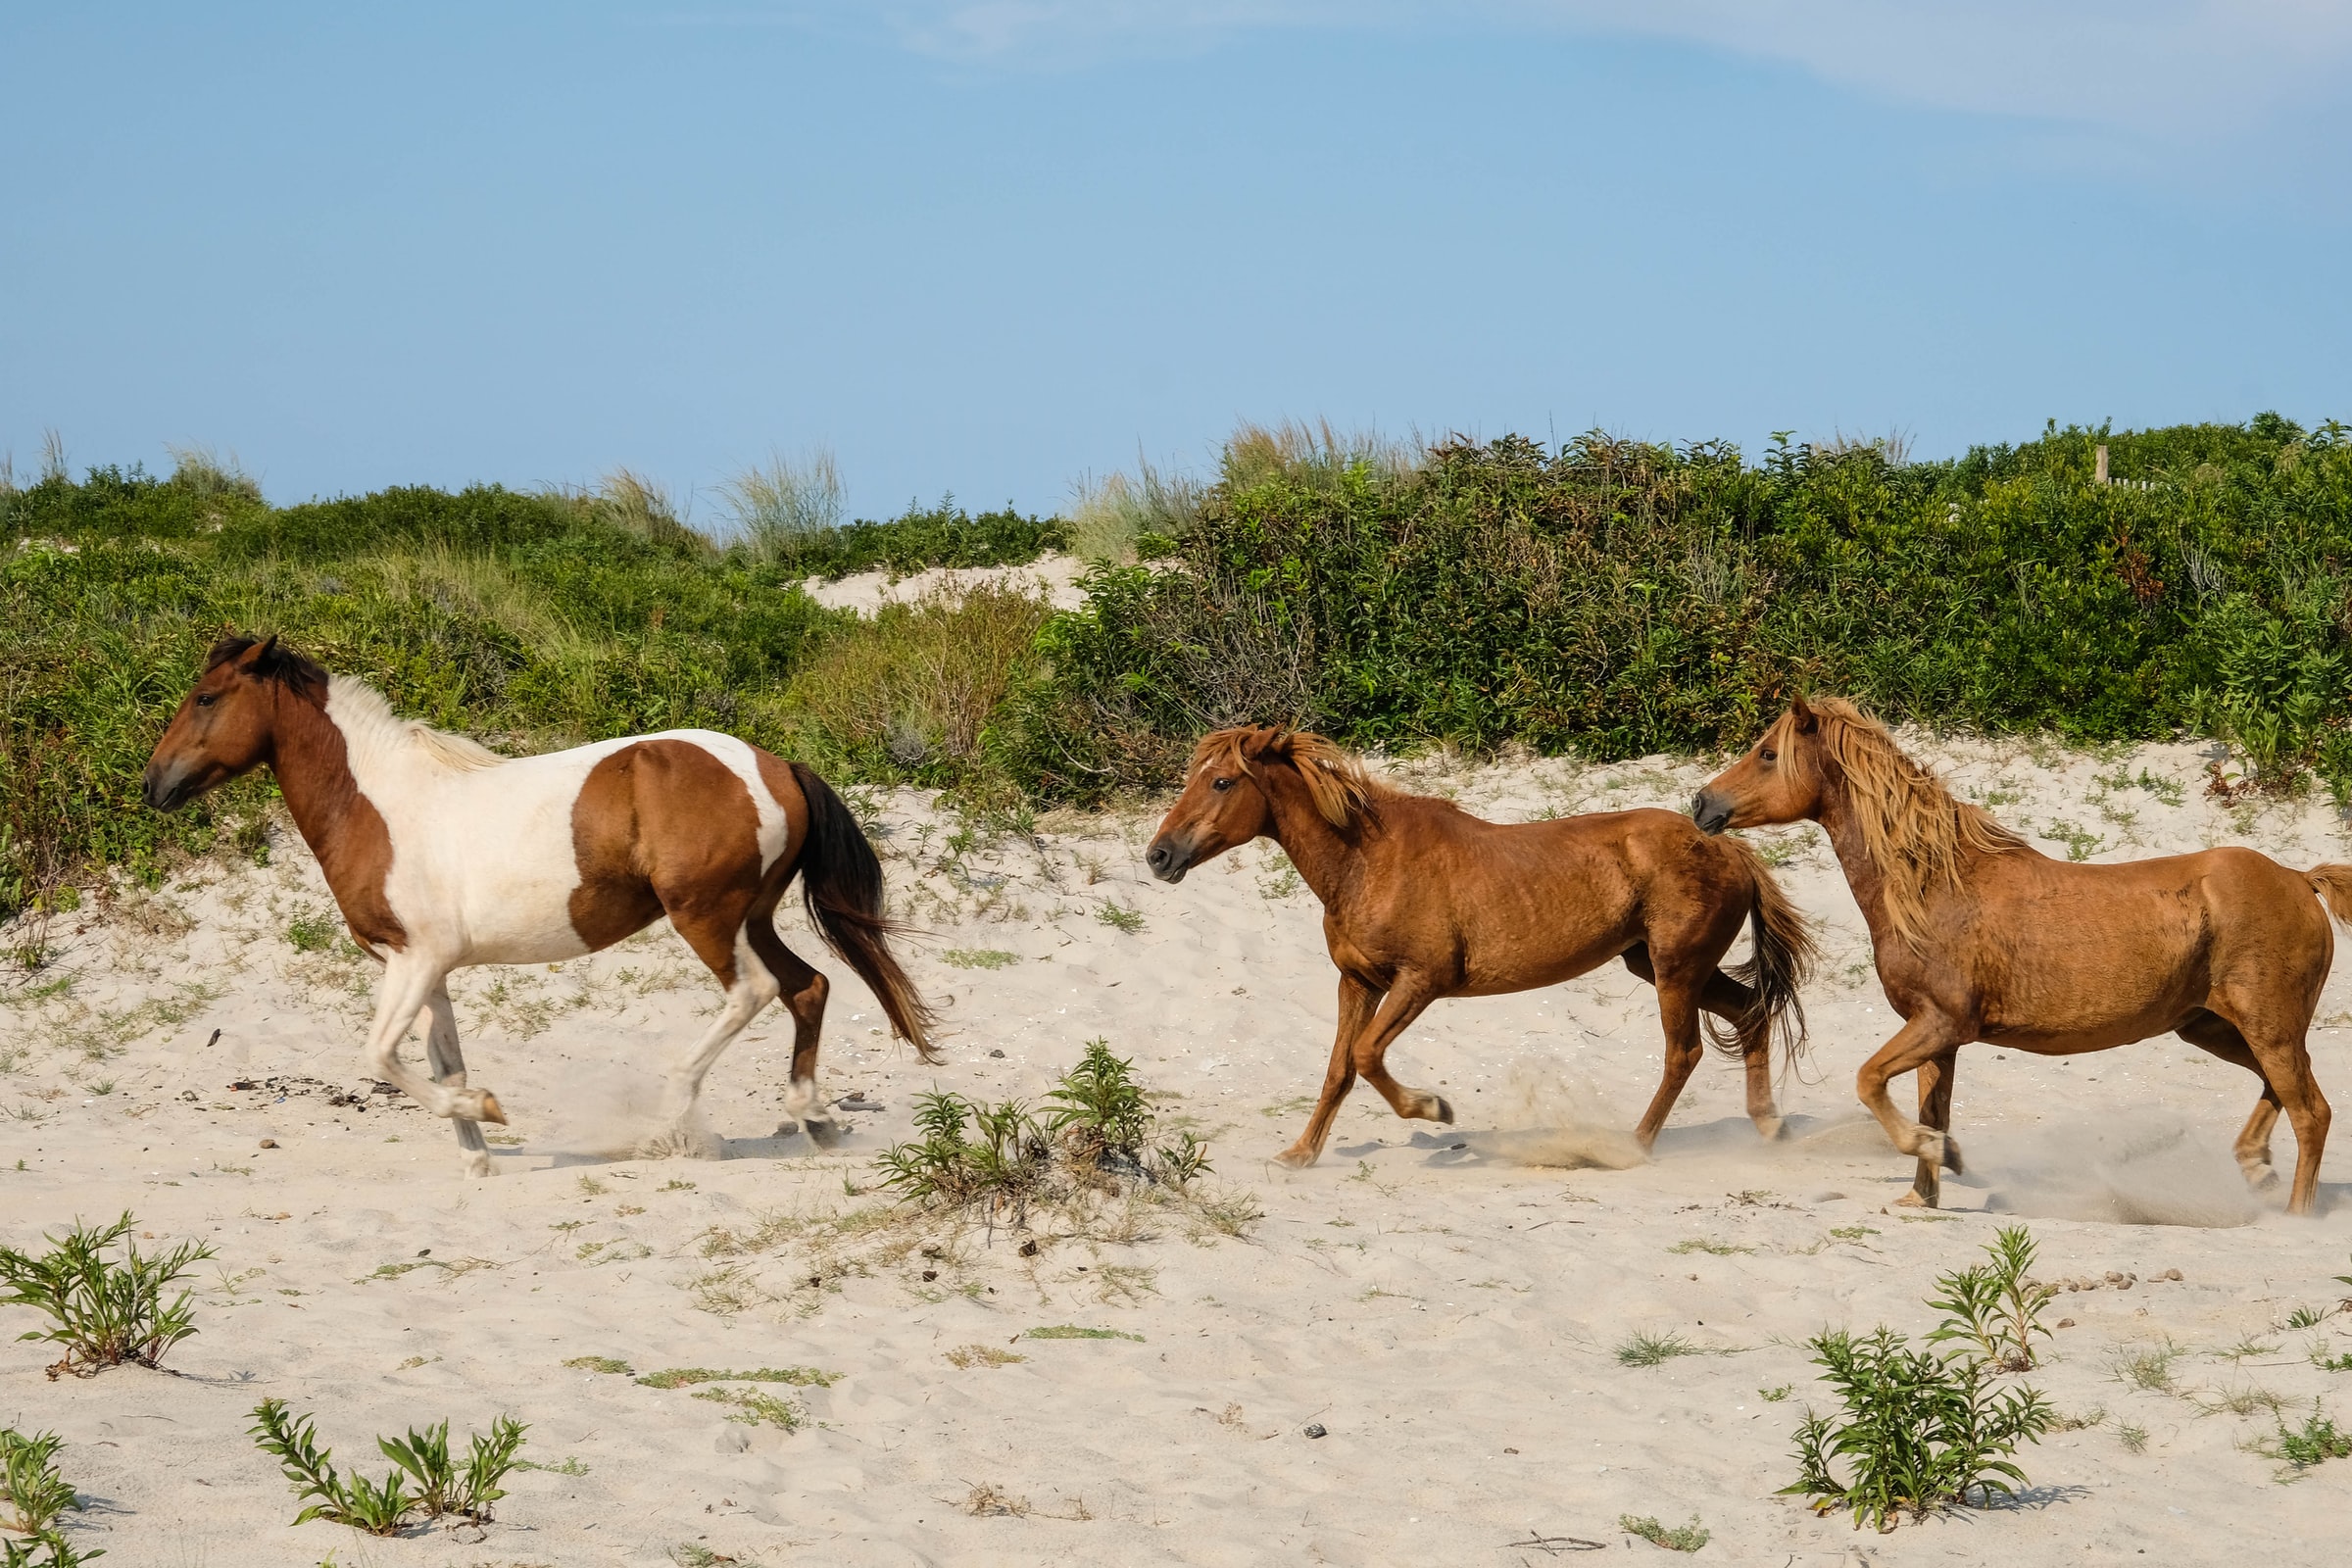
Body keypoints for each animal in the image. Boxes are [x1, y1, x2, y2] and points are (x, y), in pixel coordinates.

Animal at [142, 634, 936, 1176]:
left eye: (206, 698)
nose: (154, 785)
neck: (378, 805)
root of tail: (775, 766)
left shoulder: (415, 959)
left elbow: (383, 1056)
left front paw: (485, 1113)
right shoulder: (427, 969)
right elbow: (443, 1061)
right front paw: (477, 1158)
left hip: (705, 916)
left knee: (757, 991)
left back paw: (674, 1121)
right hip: (752, 915)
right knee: (809, 987)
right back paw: (814, 1119)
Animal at [1144, 725, 1817, 1167]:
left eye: (1222, 781)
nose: (1159, 856)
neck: (1367, 862)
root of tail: (1729, 847)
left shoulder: (1421, 981)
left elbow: (1365, 1056)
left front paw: (1434, 1109)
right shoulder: (1357, 982)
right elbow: (1339, 1068)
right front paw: (1299, 1154)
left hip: (1676, 969)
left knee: (1684, 1052)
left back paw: (1635, 1146)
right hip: (1661, 966)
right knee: (1750, 1013)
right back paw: (1768, 1127)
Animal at [1692, 694, 2351, 1214]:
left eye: (1767, 754)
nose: (1702, 805)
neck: (1935, 886)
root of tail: (2300, 879)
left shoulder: (1942, 1023)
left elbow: (1869, 1081)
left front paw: (1943, 1156)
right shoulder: (1937, 1036)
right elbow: (1931, 1108)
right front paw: (1924, 1191)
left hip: (2268, 1028)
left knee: (2312, 1113)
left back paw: (2291, 1213)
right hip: (2215, 1029)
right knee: (2279, 1092)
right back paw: (2255, 1165)